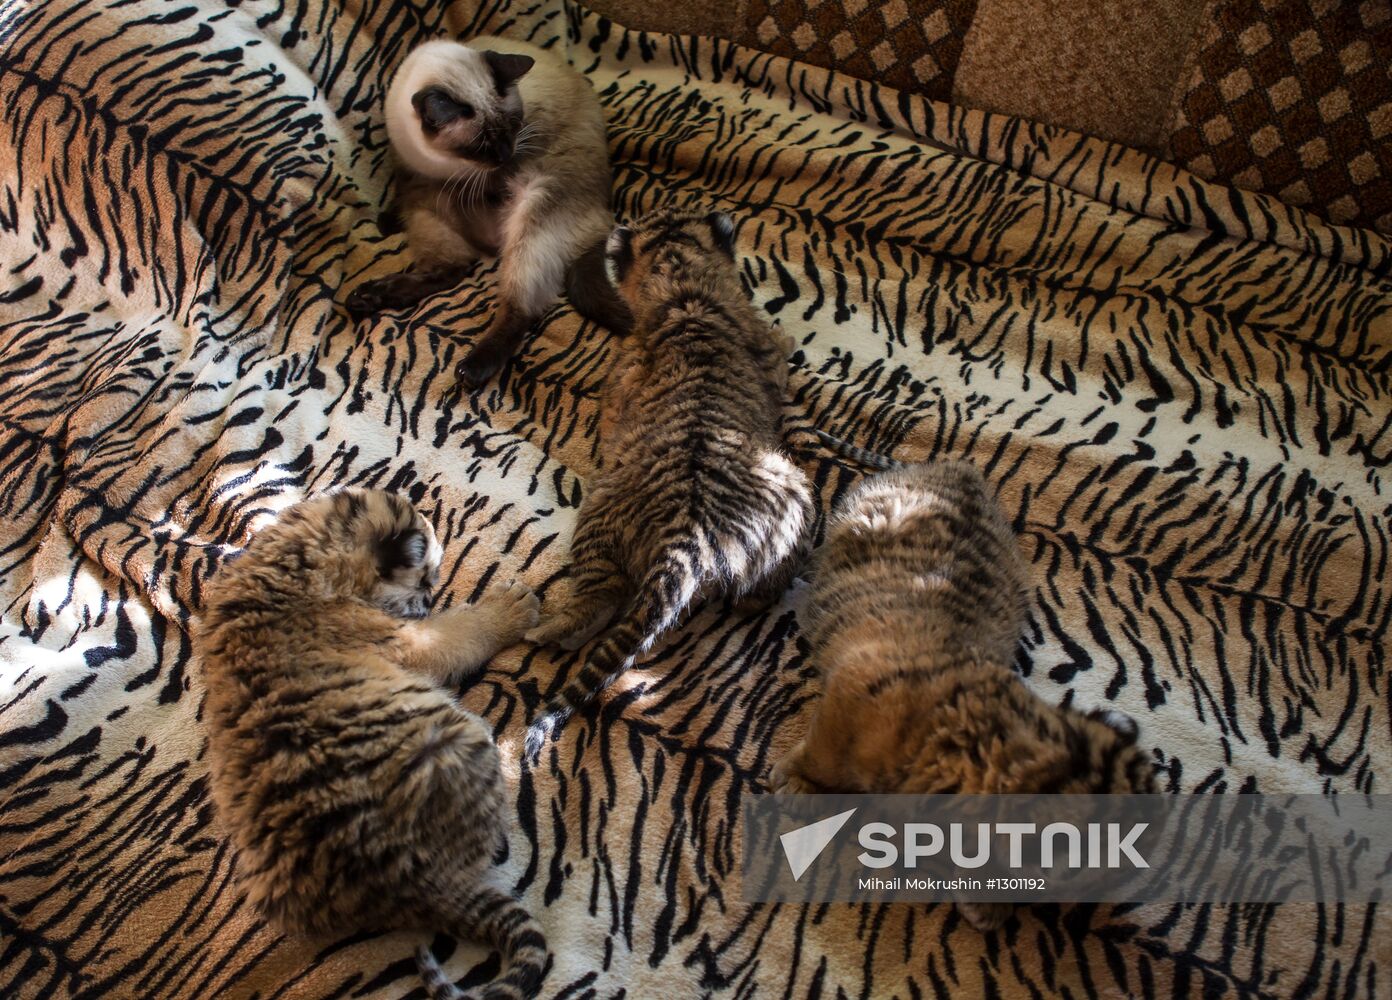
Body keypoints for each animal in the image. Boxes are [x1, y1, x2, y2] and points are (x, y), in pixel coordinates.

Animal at [348, 36, 631, 387]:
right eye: (480, 145)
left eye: (514, 125)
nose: (505, 155)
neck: (443, 166)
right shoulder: (411, 174)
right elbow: (400, 193)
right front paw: (386, 221)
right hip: (427, 210)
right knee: (453, 268)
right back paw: (367, 296)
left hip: (534, 214)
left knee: (520, 307)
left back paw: (472, 369)